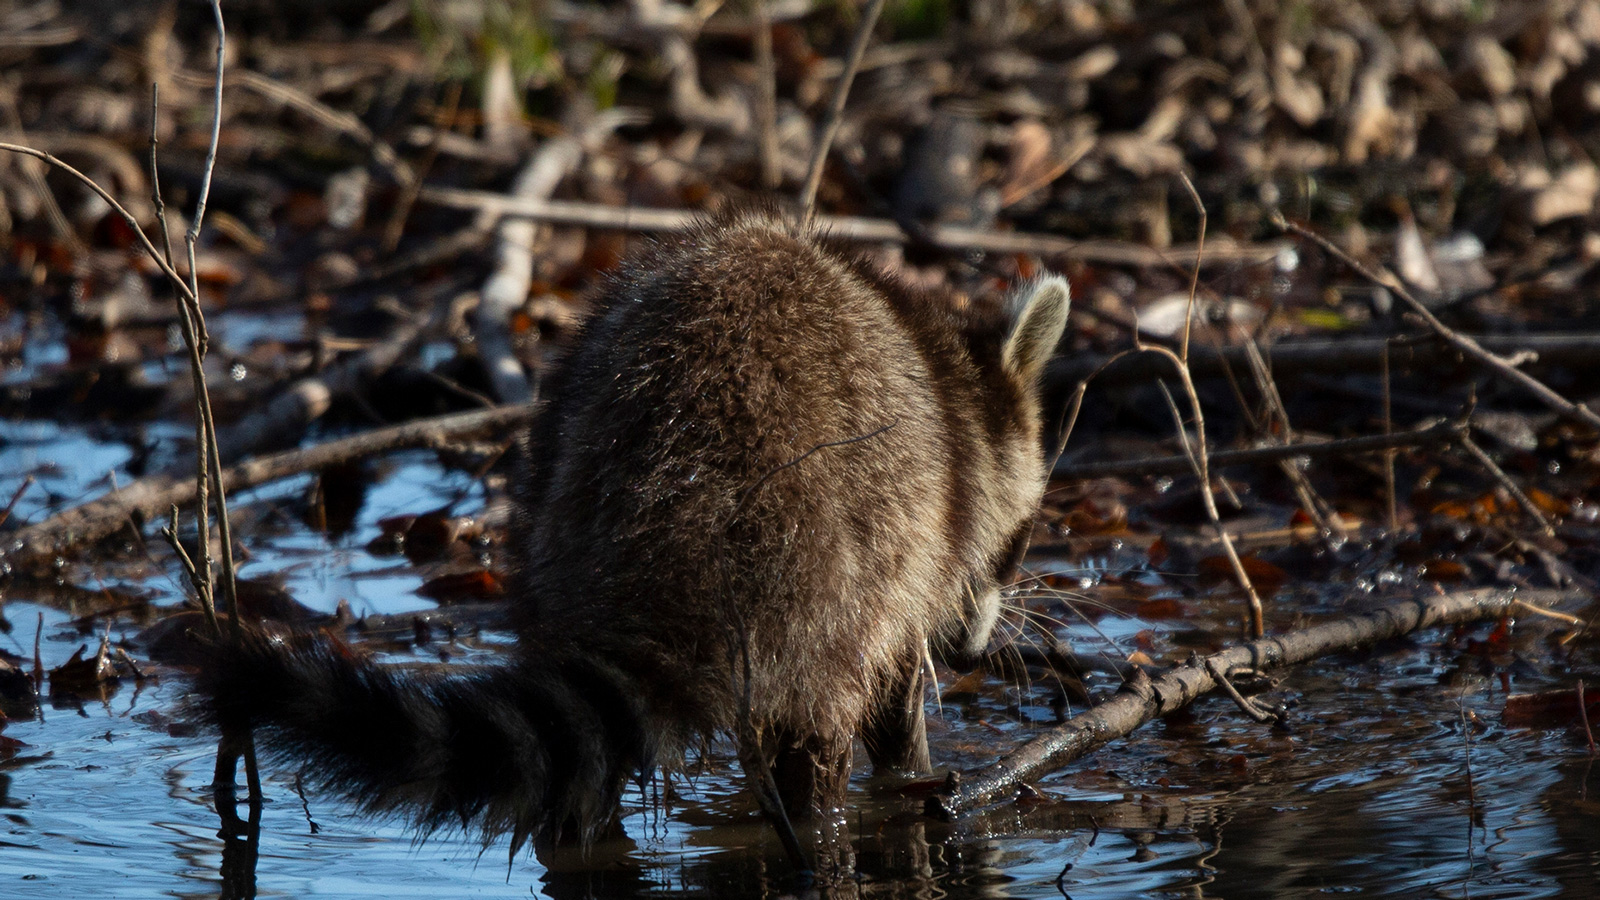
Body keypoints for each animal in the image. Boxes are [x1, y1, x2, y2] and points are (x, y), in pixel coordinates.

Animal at [193, 210, 1070, 860]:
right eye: (1022, 538)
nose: (970, 650)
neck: (951, 377)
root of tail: (678, 549)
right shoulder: (928, 530)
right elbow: (894, 691)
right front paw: (909, 776)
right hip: (842, 557)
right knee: (820, 735)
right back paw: (819, 825)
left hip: (557, 501)